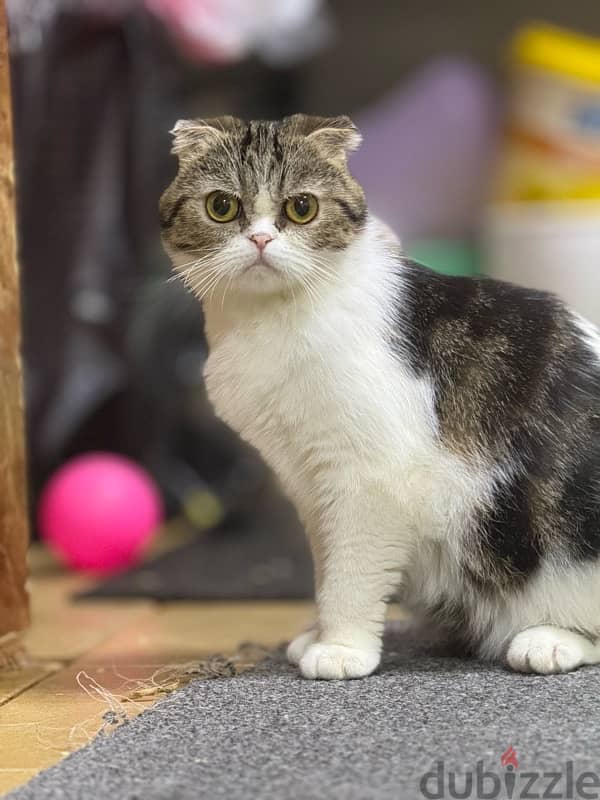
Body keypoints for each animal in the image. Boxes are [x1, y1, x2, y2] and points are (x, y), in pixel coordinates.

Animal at [161, 114, 600, 680]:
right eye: (221, 206)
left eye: (301, 208)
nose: (259, 239)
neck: (269, 321)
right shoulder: (309, 481)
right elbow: (328, 566)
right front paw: (321, 634)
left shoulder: (369, 477)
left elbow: (352, 572)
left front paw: (342, 648)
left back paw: (548, 639)